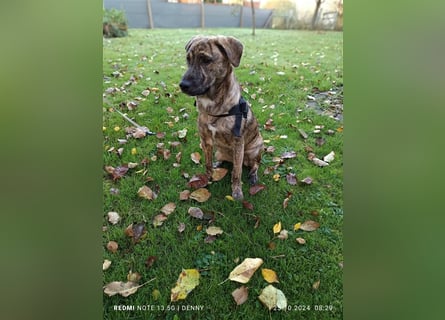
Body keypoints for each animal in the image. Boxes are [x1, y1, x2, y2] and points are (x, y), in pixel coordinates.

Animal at [180, 35, 264, 200]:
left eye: (206, 60)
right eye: (188, 59)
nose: (182, 85)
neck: (213, 106)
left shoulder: (238, 143)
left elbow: (236, 172)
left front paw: (237, 191)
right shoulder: (205, 140)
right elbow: (207, 164)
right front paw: (207, 178)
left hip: (255, 148)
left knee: (254, 164)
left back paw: (253, 174)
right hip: (219, 151)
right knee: (222, 159)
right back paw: (218, 163)